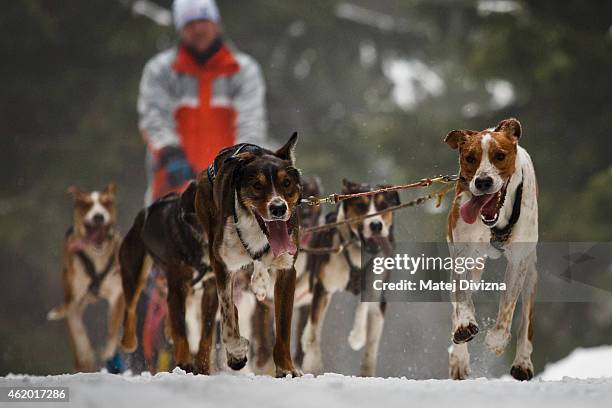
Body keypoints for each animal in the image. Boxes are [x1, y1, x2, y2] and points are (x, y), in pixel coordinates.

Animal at [47, 185, 123, 372]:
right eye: (86, 204)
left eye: (106, 202)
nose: (98, 216)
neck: (97, 256)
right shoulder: (73, 298)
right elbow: (78, 331)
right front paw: (86, 357)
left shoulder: (117, 294)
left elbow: (113, 328)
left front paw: (108, 352)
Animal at [195, 134, 302, 376]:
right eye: (257, 185)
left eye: (287, 183)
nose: (278, 208)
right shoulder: (222, 263)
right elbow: (227, 318)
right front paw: (236, 351)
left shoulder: (287, 270)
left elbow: (283, 328)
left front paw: (286, 368)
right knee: (229, 308)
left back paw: (260, 281)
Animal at [300, 180, 400, 378]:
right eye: (361, 205)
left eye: (383, 205)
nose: (376, 225)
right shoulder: (323, 288)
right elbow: (315, 331)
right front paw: (312, 365)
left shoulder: (376, 293)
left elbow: (371, 342)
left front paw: (358, 338)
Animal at [442, 119, 536, 380]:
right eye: (470, 157)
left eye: (500, 156)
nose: (483, 182)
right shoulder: (461, 253)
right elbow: (462, 300)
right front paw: (464, 325)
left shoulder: (519, 261)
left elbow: (508, 306)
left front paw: (497, 339)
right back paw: (459, 356)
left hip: (531, 272)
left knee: (526, 319)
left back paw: (523, 361)